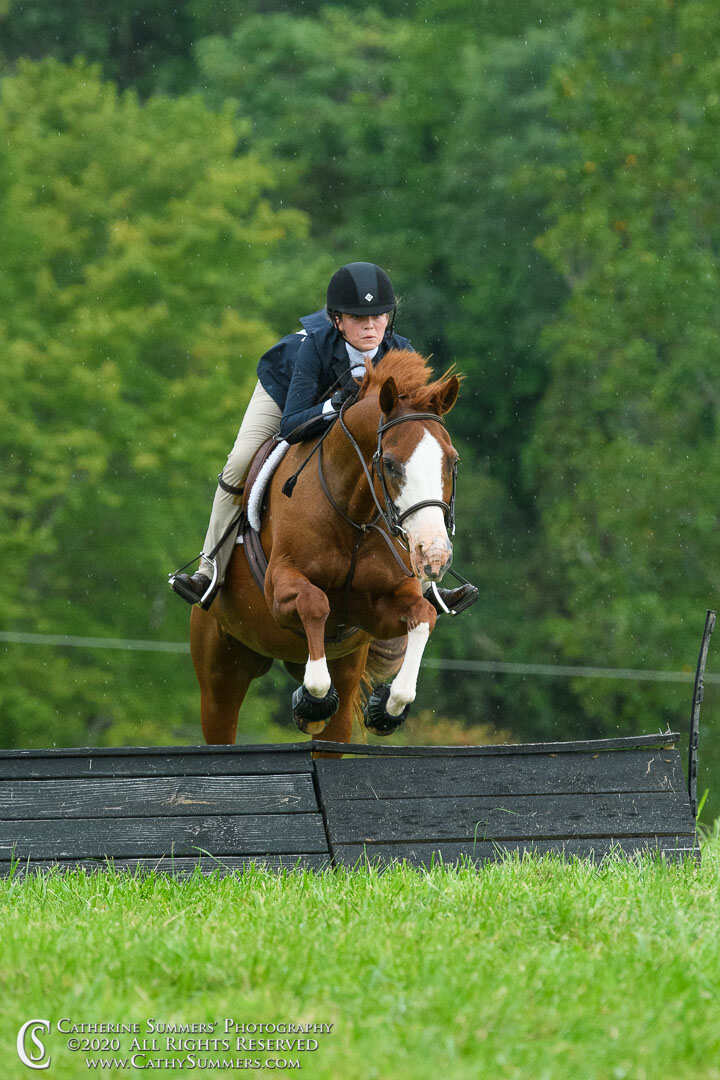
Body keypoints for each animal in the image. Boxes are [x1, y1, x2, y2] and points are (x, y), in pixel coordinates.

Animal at [190, 349, 461, 750]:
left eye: (452, 462)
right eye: (390, 464)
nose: (433, 555)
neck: (354, 517)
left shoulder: (375, 611)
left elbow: (423, 615)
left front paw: (389, 706)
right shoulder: (279, 587)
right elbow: (315, 604)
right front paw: (312, 700)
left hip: (345, 675)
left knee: (338, 717)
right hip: (220, 673)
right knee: (221, 722)